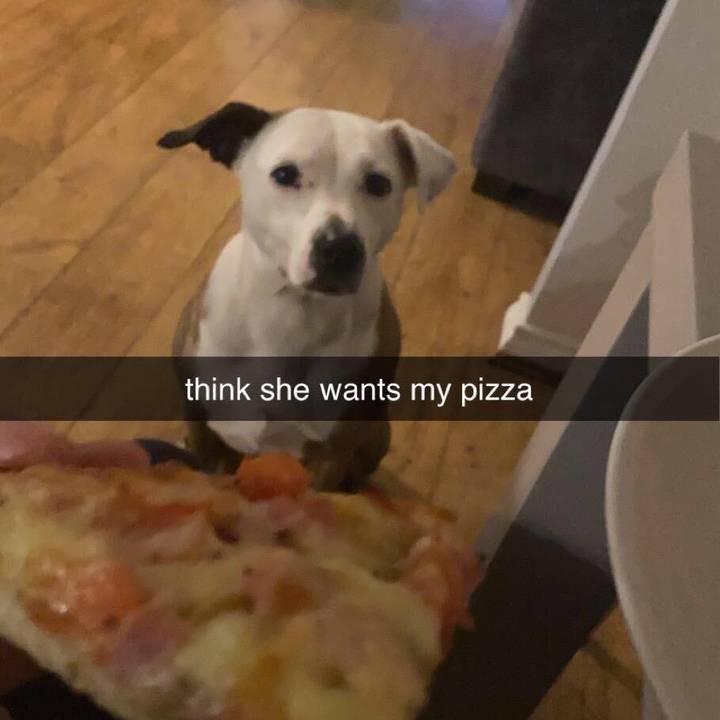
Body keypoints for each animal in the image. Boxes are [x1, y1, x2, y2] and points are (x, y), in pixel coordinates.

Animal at [158, 103, 456, 487]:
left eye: (379, 183)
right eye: (285, 174)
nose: (340, 248)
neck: (292, 313)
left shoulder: (331, 456)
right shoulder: (203, 426)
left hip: (379, 433)